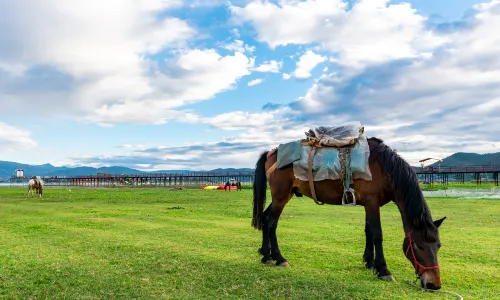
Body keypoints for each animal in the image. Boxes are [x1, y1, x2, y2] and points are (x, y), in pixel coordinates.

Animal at [254, 137, 446, 290]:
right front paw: (383, 270)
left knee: (264, 218)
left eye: (438, 245)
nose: (434, 285)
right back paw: (279, 258)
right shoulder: (372, 203)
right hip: (281, 196)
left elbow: (369, 232)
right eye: (419, 246)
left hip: (283, 196)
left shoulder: (369, 204)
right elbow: (377, 234)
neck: (384, 168)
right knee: (271, 222)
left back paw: (265, 254)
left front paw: (370, 262)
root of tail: (272, 153)